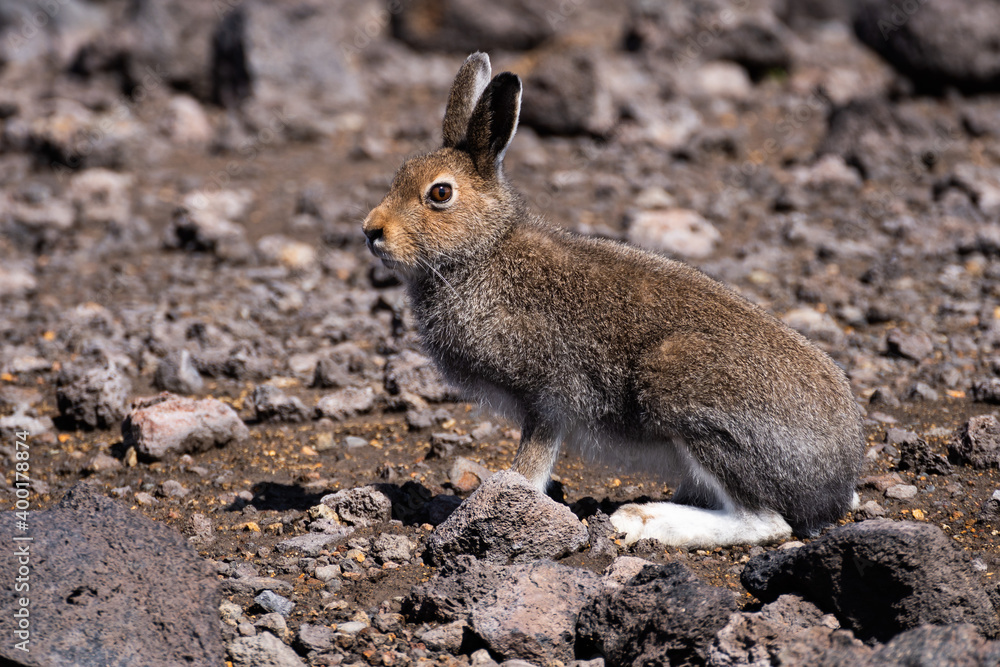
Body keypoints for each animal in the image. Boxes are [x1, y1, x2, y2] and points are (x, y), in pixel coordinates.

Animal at [362, 52, 865, 549]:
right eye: (398, 176)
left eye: (440, 193)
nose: (371, 231)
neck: (484, 250)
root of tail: (838, 479)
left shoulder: (548, 396)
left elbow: (530, 466)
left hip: (684, 393)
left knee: (764, 521)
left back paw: (640, 520)